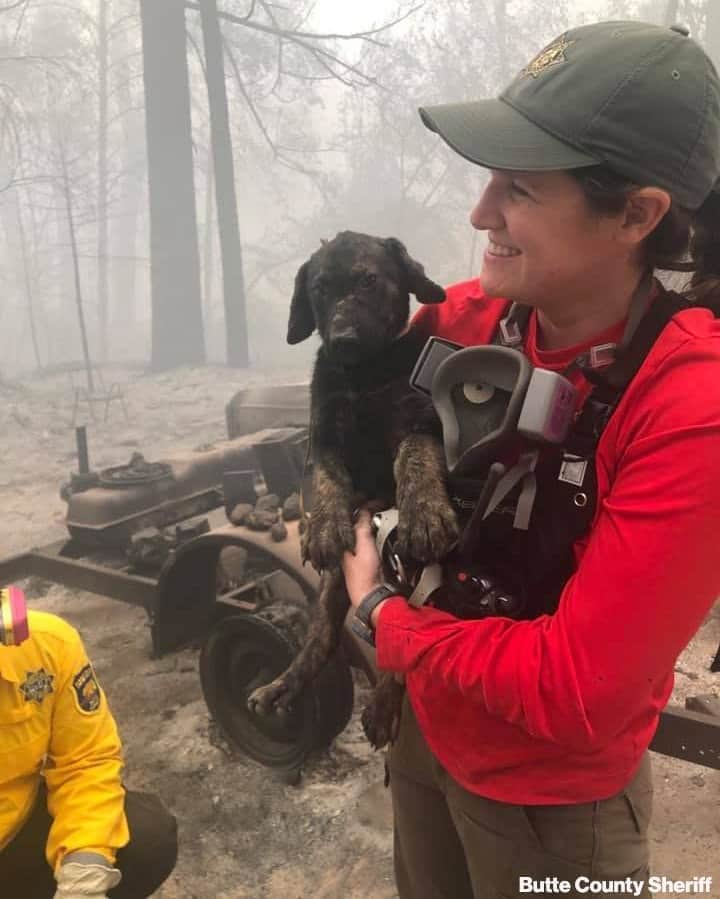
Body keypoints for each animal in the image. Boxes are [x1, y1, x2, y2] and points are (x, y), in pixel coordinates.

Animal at [248, 230, 458, 744]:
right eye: (319, 289)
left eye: (369, 281)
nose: (343, 340)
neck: (365, 374)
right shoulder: (321, 438)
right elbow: (325, 480)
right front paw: (323, 527)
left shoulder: (422, 423)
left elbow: (413, 454)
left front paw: (424, 512)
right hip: (331, 589)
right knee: (322, 640)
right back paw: (282, 686)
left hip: (413, 572)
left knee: (402, 635)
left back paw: (383, 706)